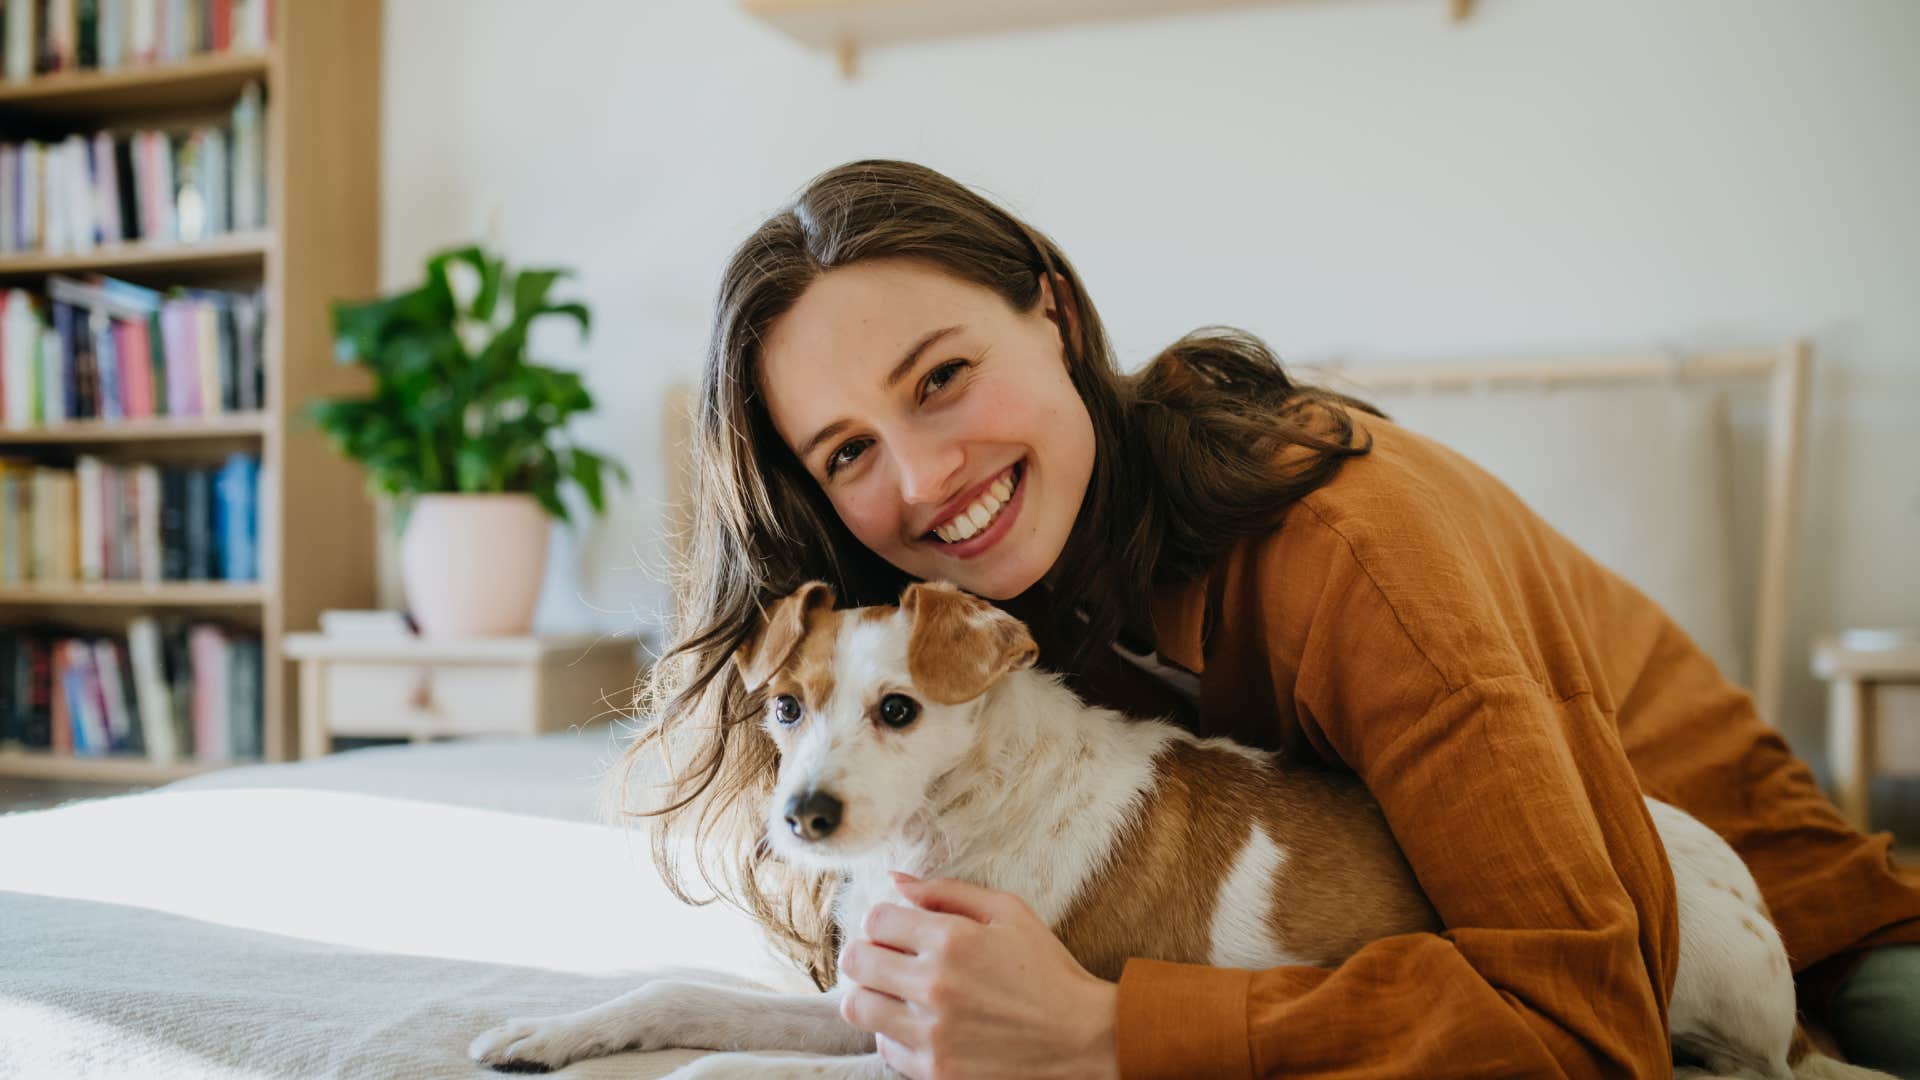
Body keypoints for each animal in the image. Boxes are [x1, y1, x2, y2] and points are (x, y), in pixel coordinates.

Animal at [472, 580, 1881, 1076]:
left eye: (899, 707)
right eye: (783, 704)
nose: (805, 816)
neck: (960, 813)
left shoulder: (939, 1039)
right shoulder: (868, 1004)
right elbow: (672, 991)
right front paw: (545, 1033)